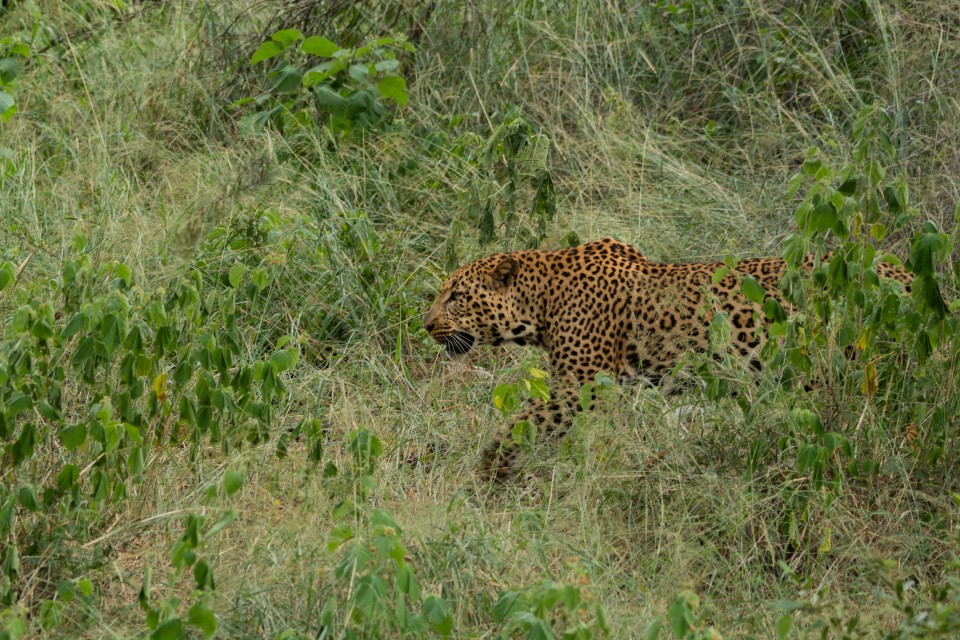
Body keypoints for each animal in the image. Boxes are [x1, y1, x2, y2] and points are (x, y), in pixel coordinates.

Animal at [424, 237, 911, 479]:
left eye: (456, 296)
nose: (426, 325)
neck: (543, 302)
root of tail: (905, 272)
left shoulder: (583, 388)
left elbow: (520, 423)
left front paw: (489, 469)